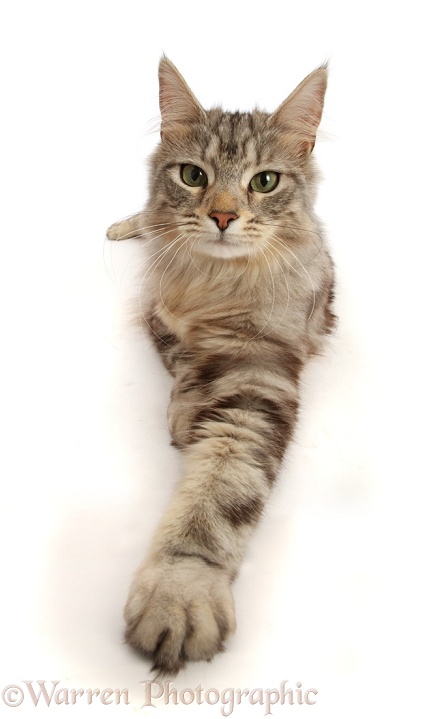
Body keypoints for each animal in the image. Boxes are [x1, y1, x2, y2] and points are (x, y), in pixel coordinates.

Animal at [106, 54, 334, 676]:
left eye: (264, 181)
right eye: (192, 176)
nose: (224, 217)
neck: (214, 282)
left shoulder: (259, 376)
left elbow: (221, 490)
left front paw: (180, 592)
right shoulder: (158, 312)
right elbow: (180, 357)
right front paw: (185, 407)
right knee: (147, 219)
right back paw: (123, 225)